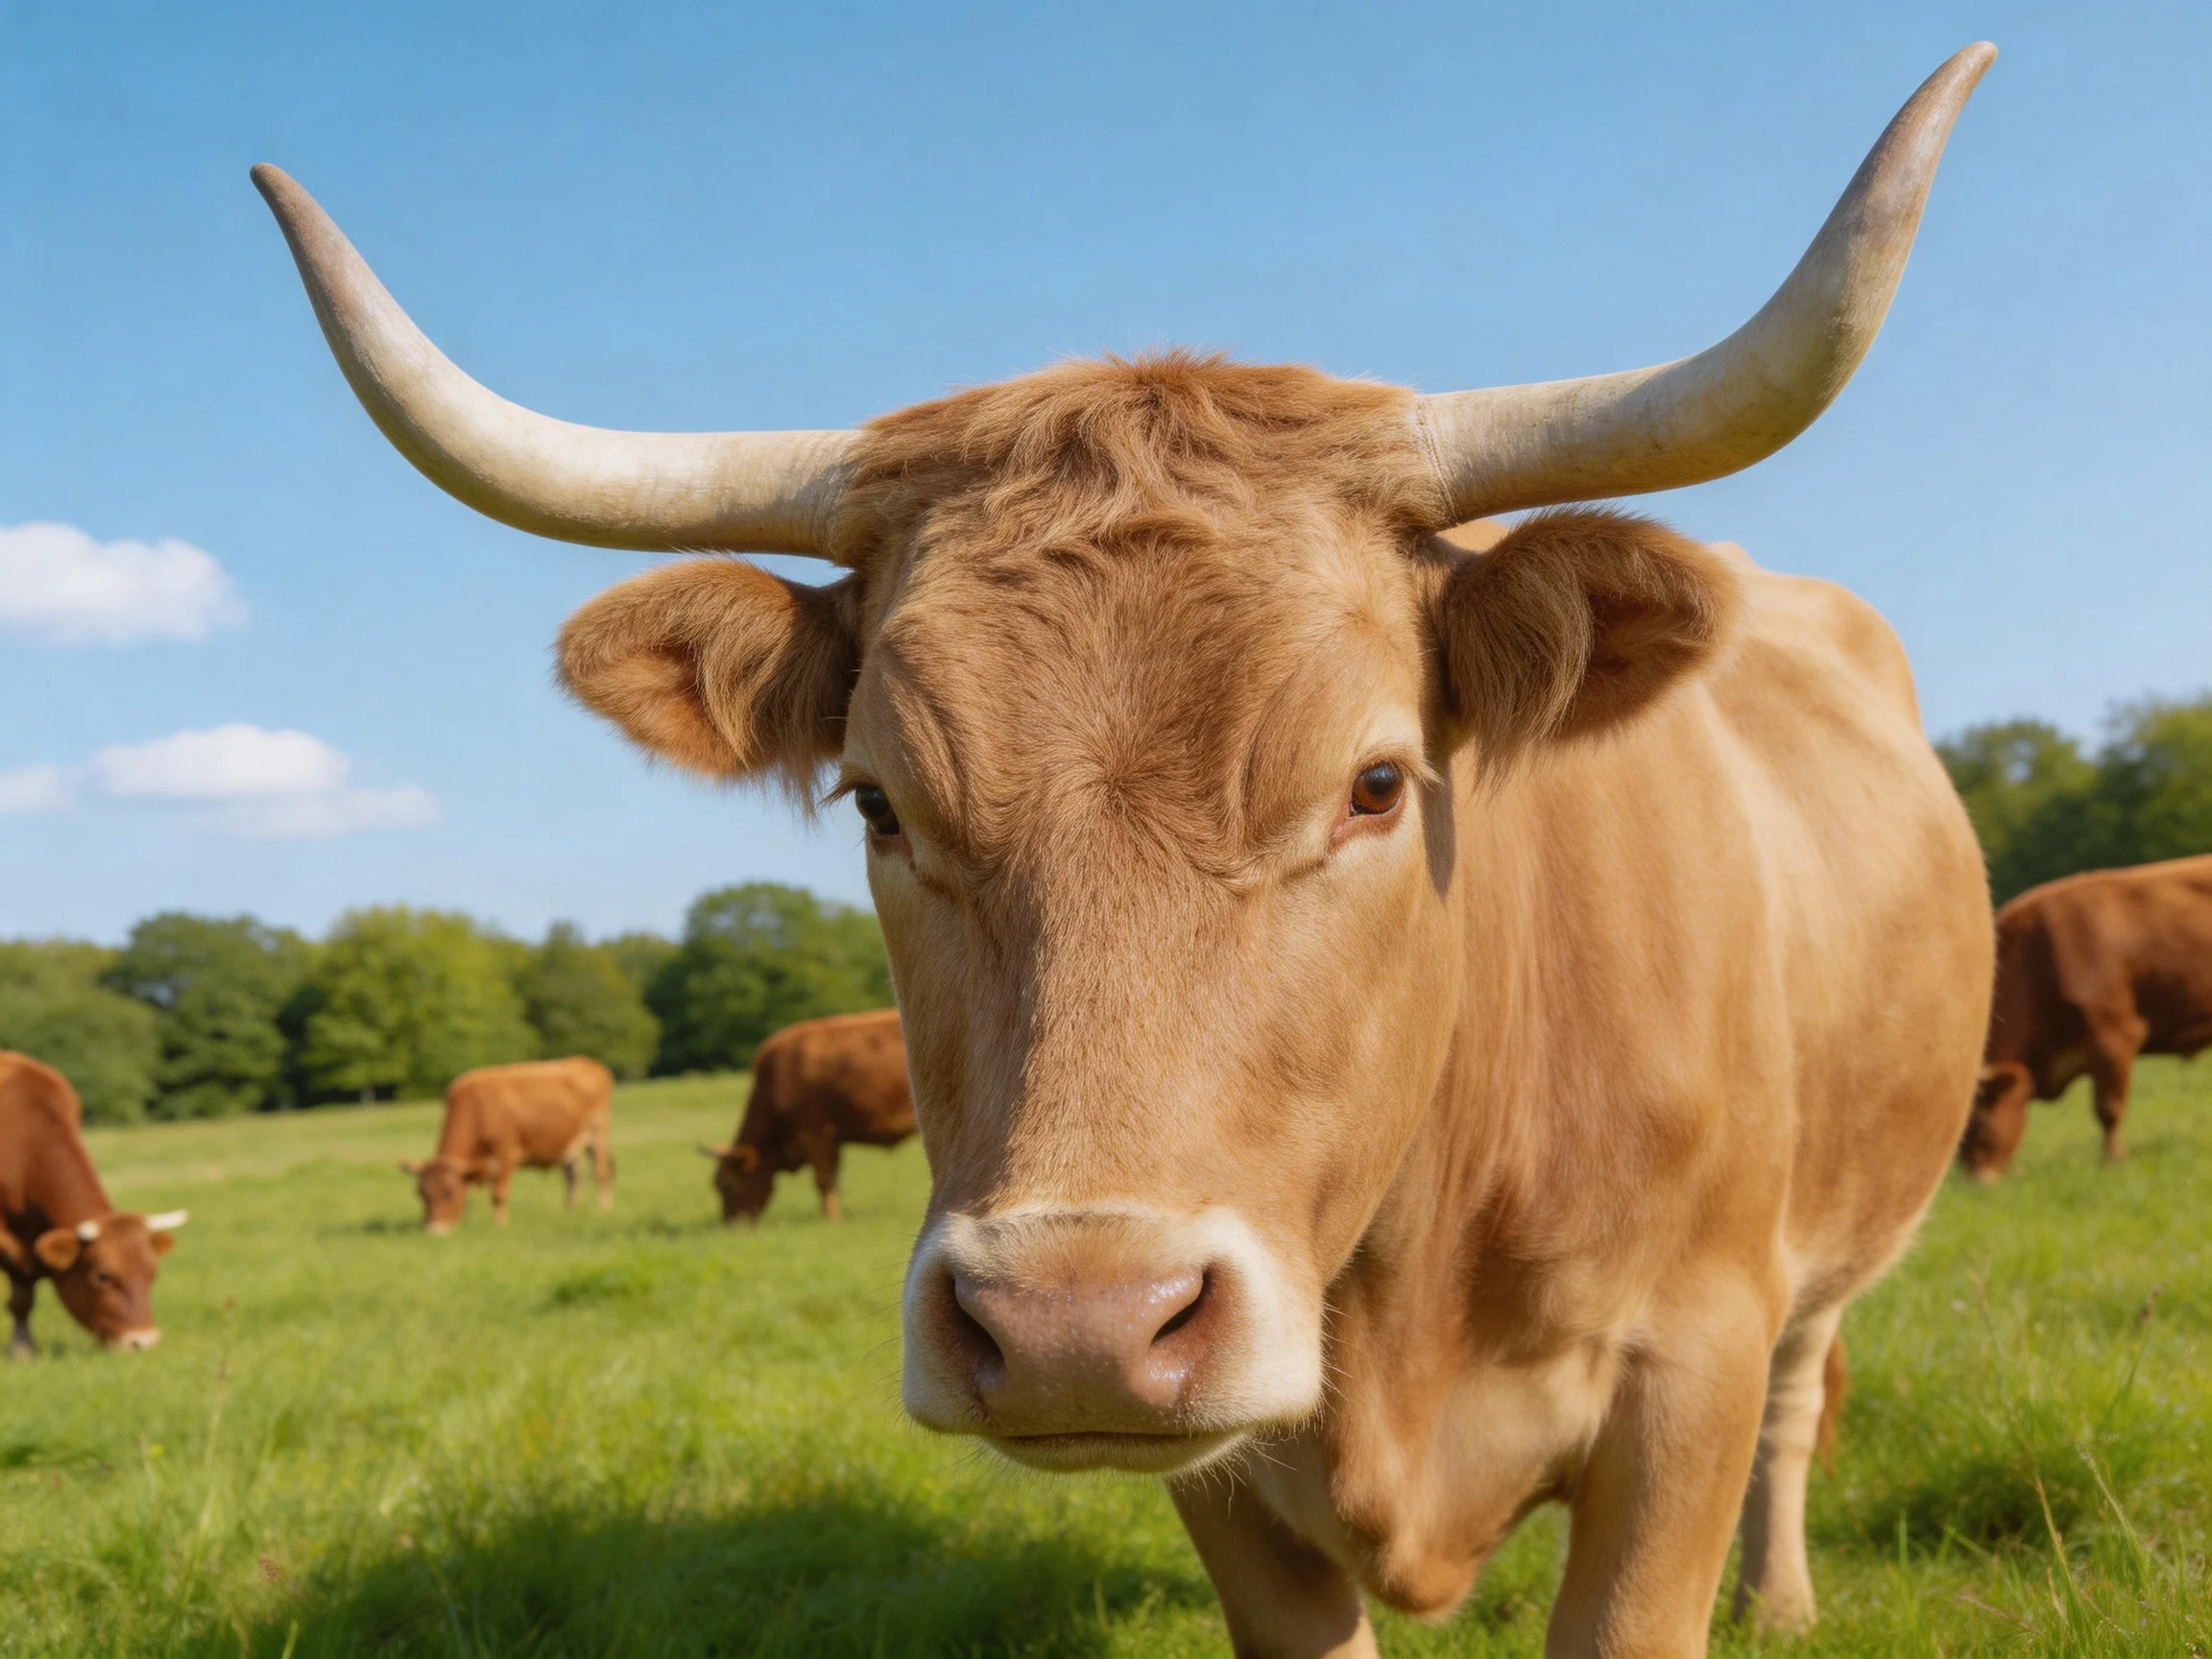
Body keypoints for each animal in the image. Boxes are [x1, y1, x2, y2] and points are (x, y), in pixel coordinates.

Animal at [402, 1056, 615, 1233]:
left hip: (598, 1133)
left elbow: (498, 1194)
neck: (478, 1108)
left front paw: (499, 1226)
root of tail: (587, 1062)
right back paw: (568, 1212)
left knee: (601, 1172)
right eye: (422, 1194)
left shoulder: (505, 1155)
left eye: (450, 1193)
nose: (435, 1231)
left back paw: (603, 1209)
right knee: (573, 1178)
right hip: (570, 1147)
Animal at [700, 1007, 914, 1223]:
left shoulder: (816, 1134)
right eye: (715, 1184)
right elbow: (833, 1178)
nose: (731, 1224)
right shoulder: (833, 1141)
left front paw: (831, 1219)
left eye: (727, 1184)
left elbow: (824, 1179)